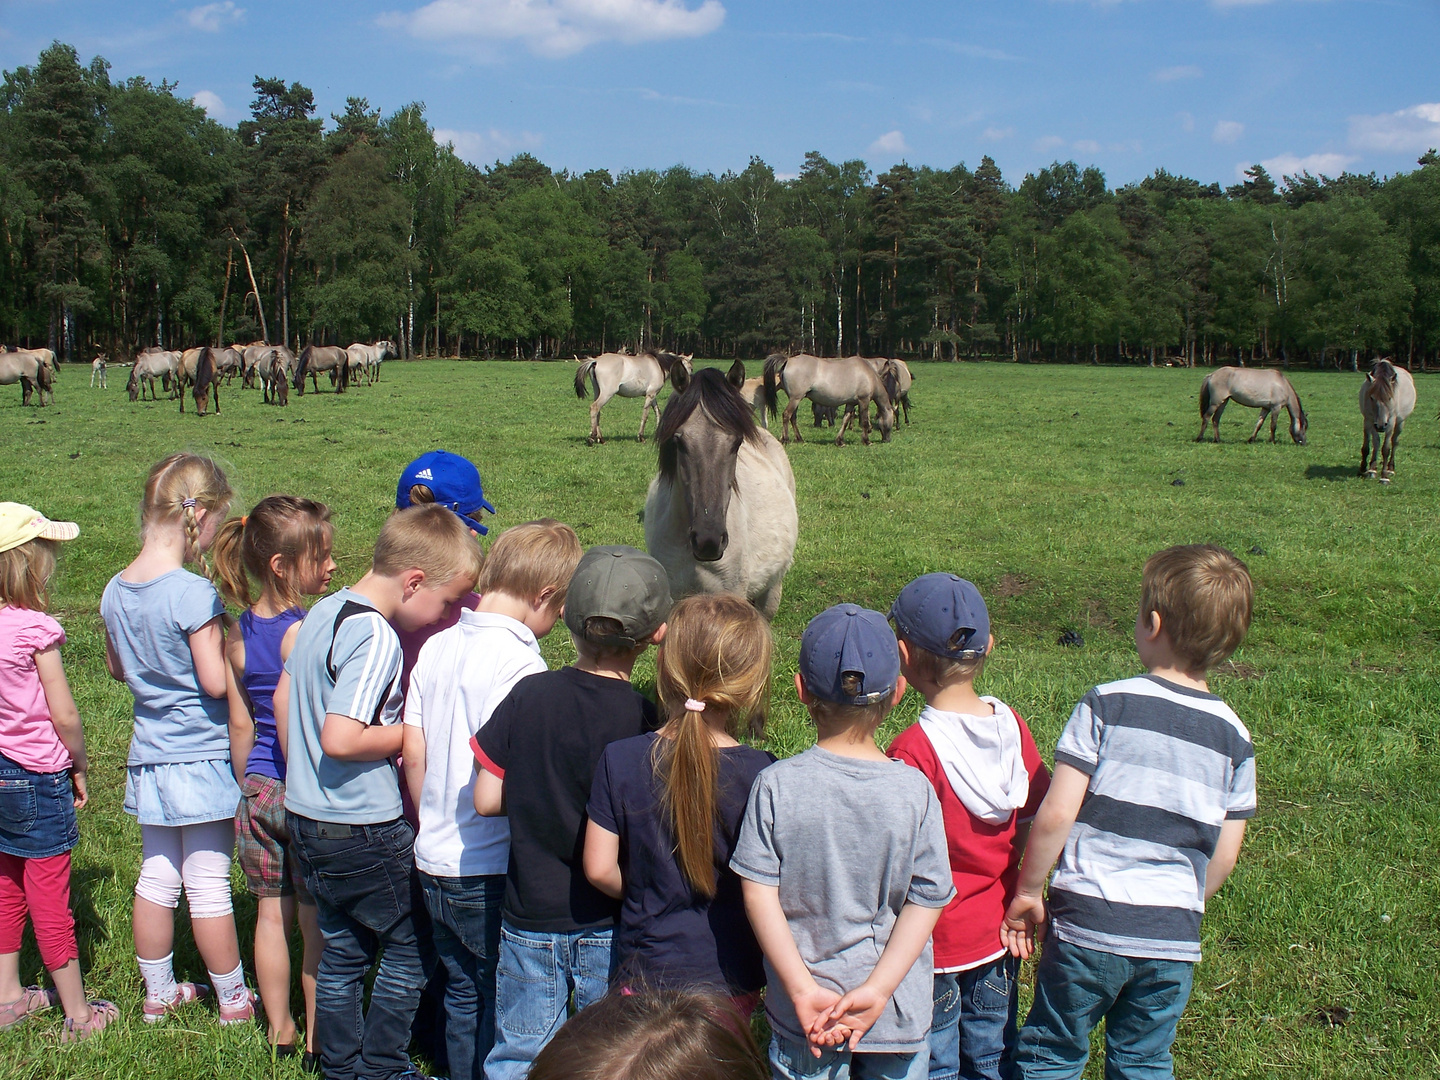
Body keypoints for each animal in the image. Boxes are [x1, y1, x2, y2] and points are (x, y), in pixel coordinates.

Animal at [760, 351, 892, 443]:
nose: (887, 440)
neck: (869, 376)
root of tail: (788, 360)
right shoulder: (863, 401)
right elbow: (864, 420)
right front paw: (866, 441)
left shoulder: (851, 403)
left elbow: (845, 420)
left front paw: (839, 441)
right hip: (795, 399)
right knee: (786, 415)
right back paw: (785, 439)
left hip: (795, 399)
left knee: (793, 418)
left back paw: (799, 439)